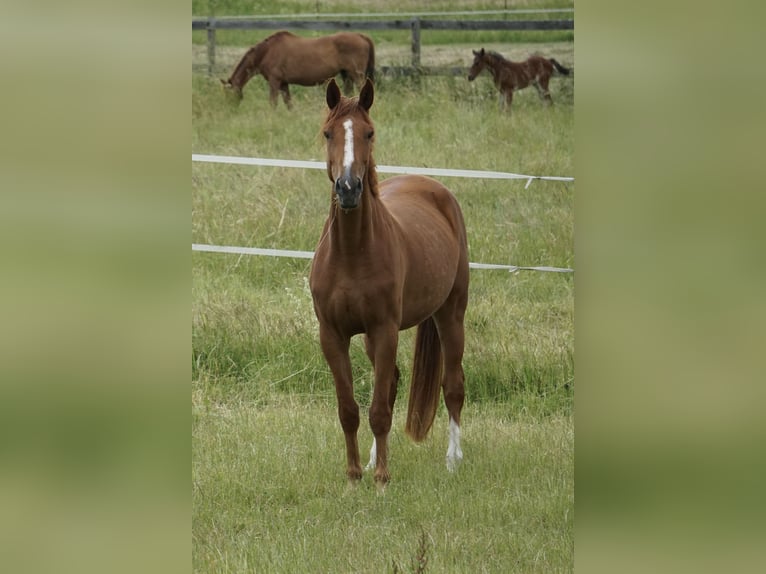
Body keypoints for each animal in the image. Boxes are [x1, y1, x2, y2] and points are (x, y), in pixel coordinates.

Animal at [220, 31, 375, 108]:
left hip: (357, 75)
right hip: (346, 75)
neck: (267, 51)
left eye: (229, 95)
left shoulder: (274, 82)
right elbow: (289, 104)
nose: (230, 110)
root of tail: (361, 36)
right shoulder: (283, 83)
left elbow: (273, 103)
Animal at [309, 78, 469, 487]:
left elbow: (378, 410)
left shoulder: (385, 330)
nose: (349, 188)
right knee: (393, 382)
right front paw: (354, 476)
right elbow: (350, 409)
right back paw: (370, 459)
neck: (351, 253)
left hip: (451, 314)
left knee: (453, 386)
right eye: (328, 132)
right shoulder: (333, 335)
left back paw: (453, 460)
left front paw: (382, 480)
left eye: (370, 132)